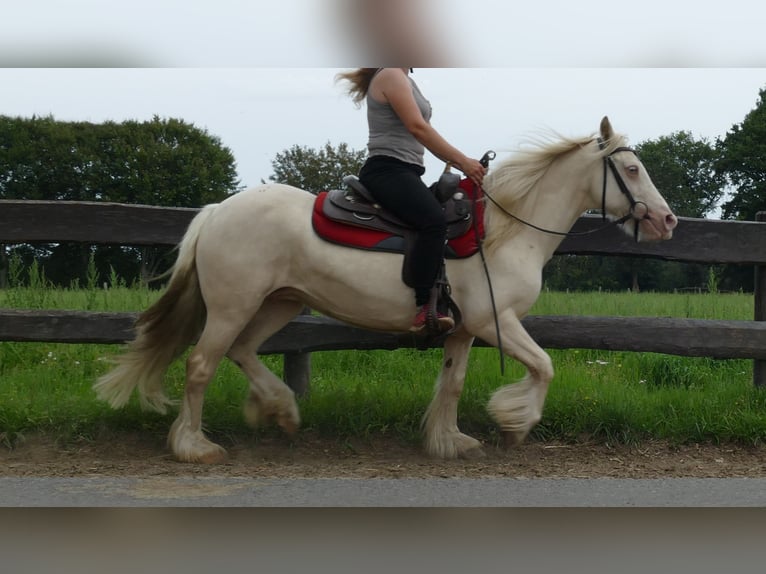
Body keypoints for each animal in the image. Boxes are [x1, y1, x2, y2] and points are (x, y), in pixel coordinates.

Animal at [94, 116, 680, 464]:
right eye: (631, 168)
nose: (667, 221)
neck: (508, 230)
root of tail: (218, 211)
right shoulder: (496, 323)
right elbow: (544, 366)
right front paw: (515, 422)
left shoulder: (464, 329)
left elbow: (453, 382)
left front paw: (448, 440)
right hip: (232, 306)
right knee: (201, 365)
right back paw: (194, 446)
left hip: (280, 302)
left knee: (242, 352)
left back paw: (280, 410)